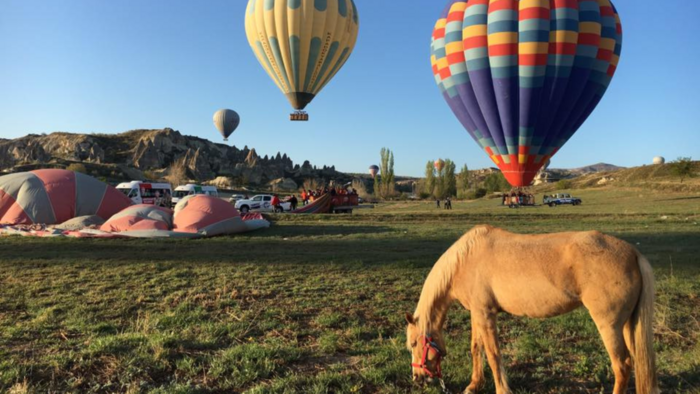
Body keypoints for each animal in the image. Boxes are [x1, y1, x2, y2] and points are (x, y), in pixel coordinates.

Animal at [404, 225, 656, 394]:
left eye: (414, 344)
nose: (417, 378)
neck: (464, 260)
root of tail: (633, 253)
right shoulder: (477, 313)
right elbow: (476, 348)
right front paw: (474, 385)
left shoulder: (485, 314)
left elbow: (493, 355)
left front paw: (501, 389)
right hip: (628, 325)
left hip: (609, 326)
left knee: (622, 366)